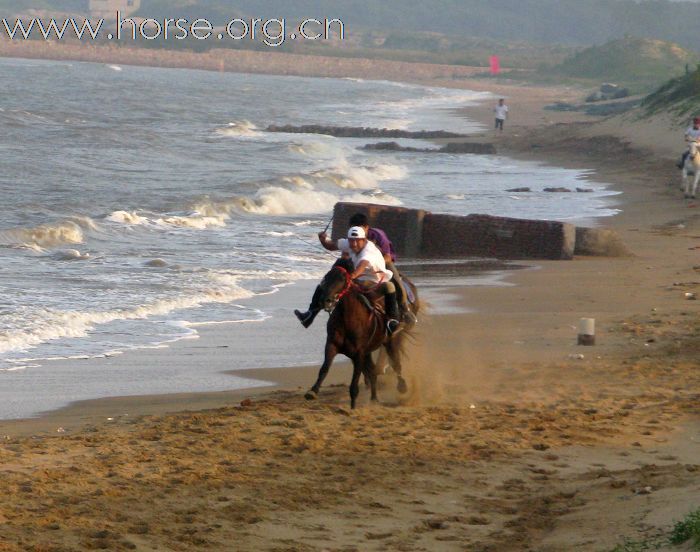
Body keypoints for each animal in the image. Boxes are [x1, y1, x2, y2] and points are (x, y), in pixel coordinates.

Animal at [304, 256, 418, 408]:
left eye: (342, 280)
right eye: (326, 277)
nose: (325, 300)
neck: (348, 320)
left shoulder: (359, 353)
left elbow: (355, 382)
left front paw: (352, 406)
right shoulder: (332, 345)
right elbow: (324, 368)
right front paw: (312, 391)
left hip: (390, 341)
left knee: (395, 363)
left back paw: (402, 386)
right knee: (373, 371)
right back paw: (374, 398)